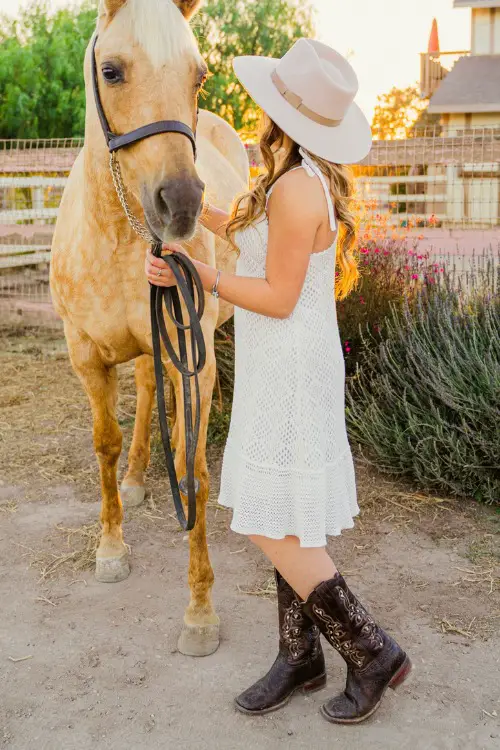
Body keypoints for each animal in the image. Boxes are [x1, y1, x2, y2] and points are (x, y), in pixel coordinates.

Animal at [49, 0, 247, 656]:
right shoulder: (85, 355)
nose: (181, 203)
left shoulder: (194, 357)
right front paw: (111, 547)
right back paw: (137, 478)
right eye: (111, 71)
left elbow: (195, 467)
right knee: (142, 392)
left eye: (200, 76)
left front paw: (200, 612)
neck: (115, 231)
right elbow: (105, 443)